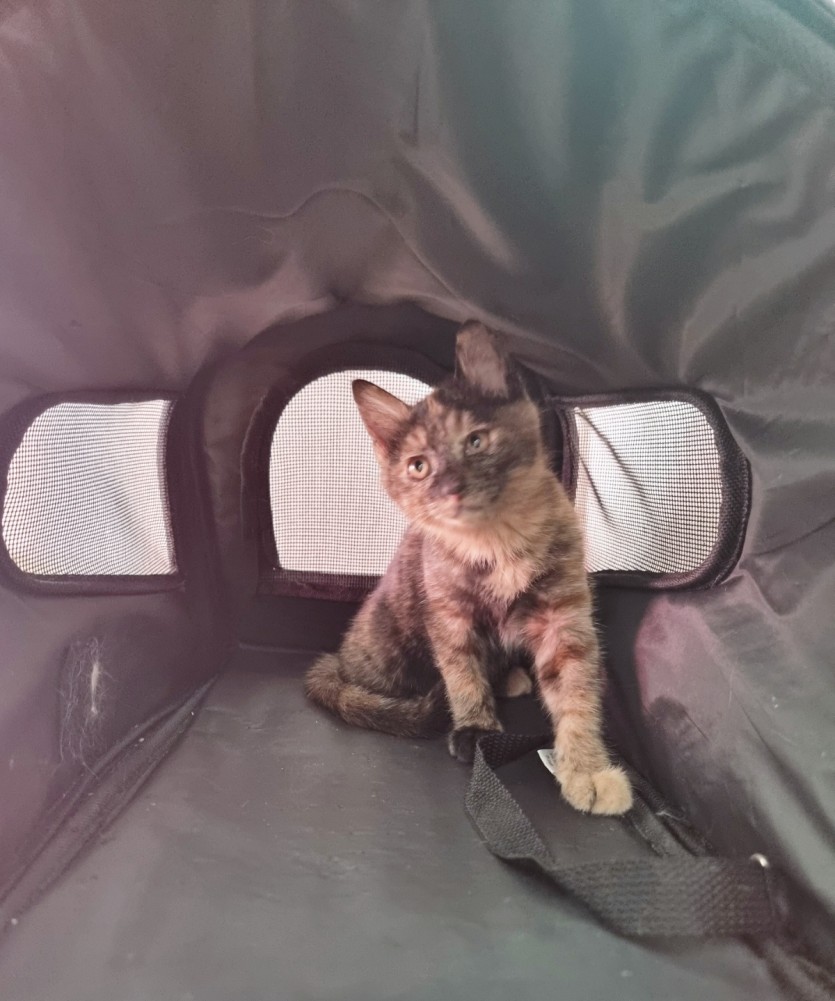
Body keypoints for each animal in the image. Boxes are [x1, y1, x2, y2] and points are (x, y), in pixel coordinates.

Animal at [305, 321, 633, 815]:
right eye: (418, 466)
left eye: (476, 441)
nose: (450, 487)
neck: (495, 540)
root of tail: (337, 659)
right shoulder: (448, 615)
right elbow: (462, 674)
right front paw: (476, 729)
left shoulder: (564, 616)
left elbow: (576, 690)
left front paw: (586, 768)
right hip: (388, 644)